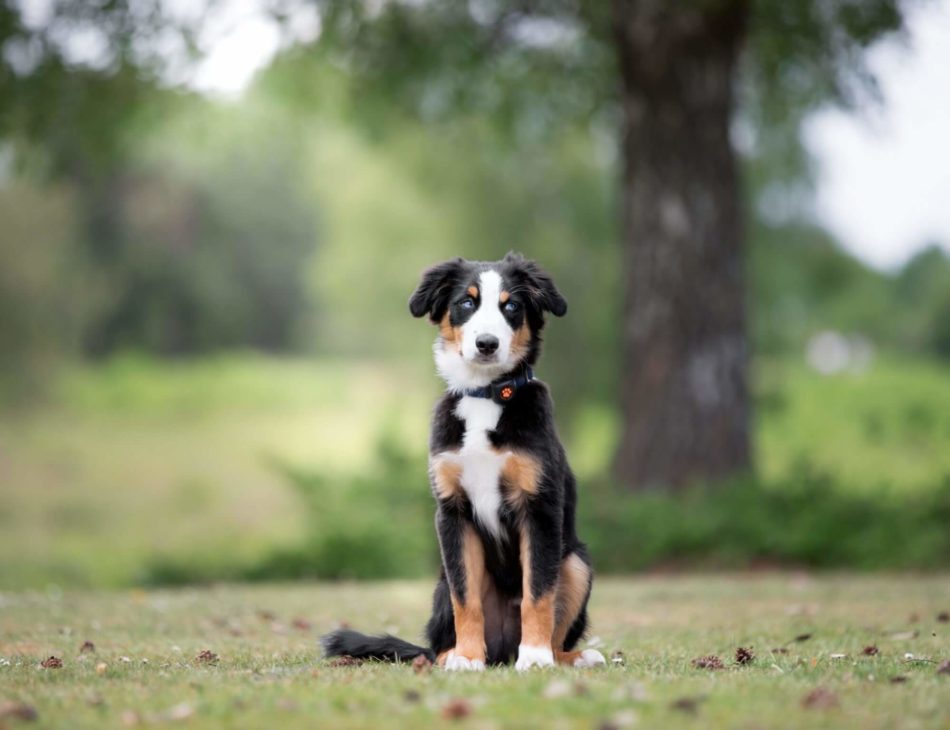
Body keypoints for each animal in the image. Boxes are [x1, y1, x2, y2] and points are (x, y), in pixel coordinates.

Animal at [324, 253, 608, 668]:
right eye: (466, 302)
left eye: (511, 306)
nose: (486, 344)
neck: (485, 394)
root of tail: (503, 652)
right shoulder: (453, 512)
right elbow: (466, 597)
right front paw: (468, 658)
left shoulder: (539, 507)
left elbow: (538, 593)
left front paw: (535, 658)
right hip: (441, 583)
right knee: (437, 642)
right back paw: (451, 655)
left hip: (575, 562)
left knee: (556, 622)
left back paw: (569, 656)